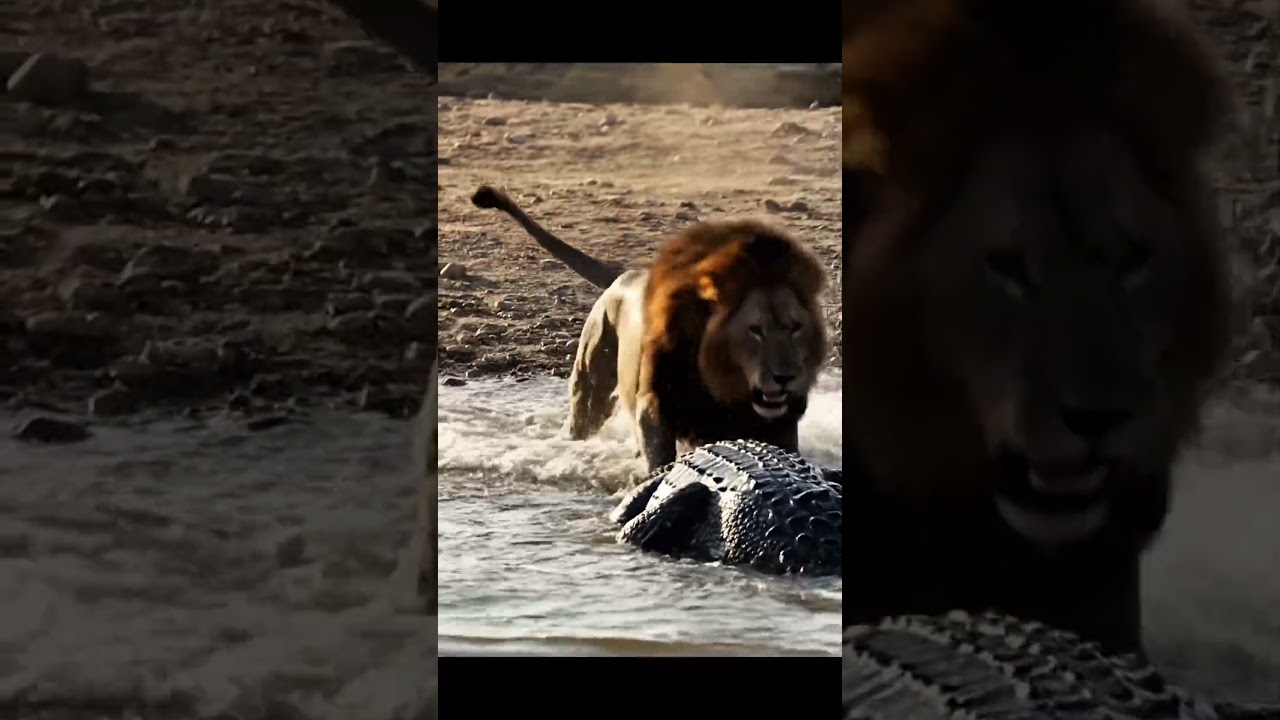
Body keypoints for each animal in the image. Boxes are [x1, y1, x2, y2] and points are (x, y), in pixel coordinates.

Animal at [470, 186, 829, 471]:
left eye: (795, 327)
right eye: (755, 330)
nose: (785, 377)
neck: (722, 384)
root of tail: (625, 274)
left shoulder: (780, 427)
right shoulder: (654, 409)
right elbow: (659, 460)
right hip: (589, 387)